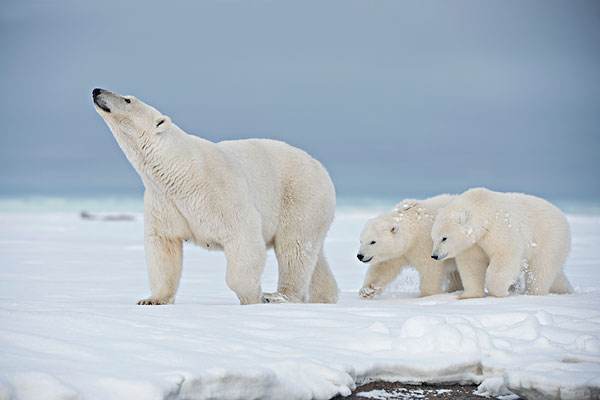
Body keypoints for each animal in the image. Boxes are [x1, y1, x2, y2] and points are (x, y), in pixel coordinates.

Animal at [92, 89, 338, 304]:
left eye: (127, 99)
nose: (97, 90)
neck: (180, 170)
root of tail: (320, 167)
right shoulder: (164, 201)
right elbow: (163, 246)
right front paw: (152, 299)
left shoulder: (219, 192)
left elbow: (243, 237)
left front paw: (253, 297)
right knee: (313, 255)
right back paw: (325, 296)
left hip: (301, 196)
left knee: (294, 248)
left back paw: (279, 296)